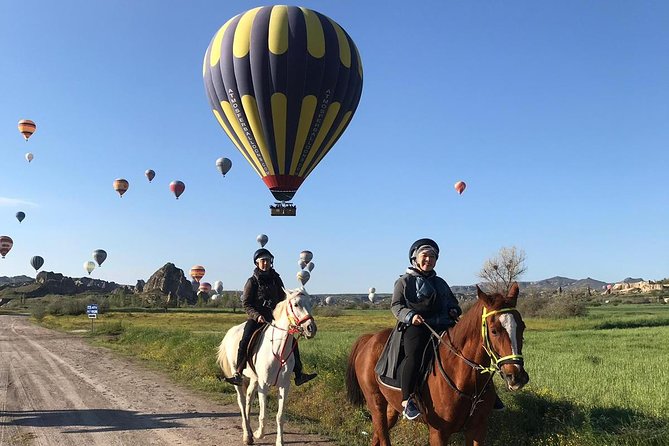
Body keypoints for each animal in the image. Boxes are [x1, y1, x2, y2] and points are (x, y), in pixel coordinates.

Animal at [217, 288, 316, 444]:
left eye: (310, 303)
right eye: (295, 304)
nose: (311, 328)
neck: (279, 349)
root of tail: (231, 331)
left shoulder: (284, 386)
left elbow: (280, 416)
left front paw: (279, 441)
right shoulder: (264, 384)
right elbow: (263, 414)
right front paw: (259, 434)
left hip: (254, 379)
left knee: (249, 399)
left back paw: (248, 431)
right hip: (238, 376)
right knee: (242, 401)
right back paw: (247, 435)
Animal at [344, 284, 528, 444]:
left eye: (522, 327)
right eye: (494, 330)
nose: (516, 376)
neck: (466, 378)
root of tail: (369, 339)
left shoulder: (477, 429)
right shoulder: (438, 433)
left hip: (391, 407)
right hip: (376, 404)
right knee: (382, 435)